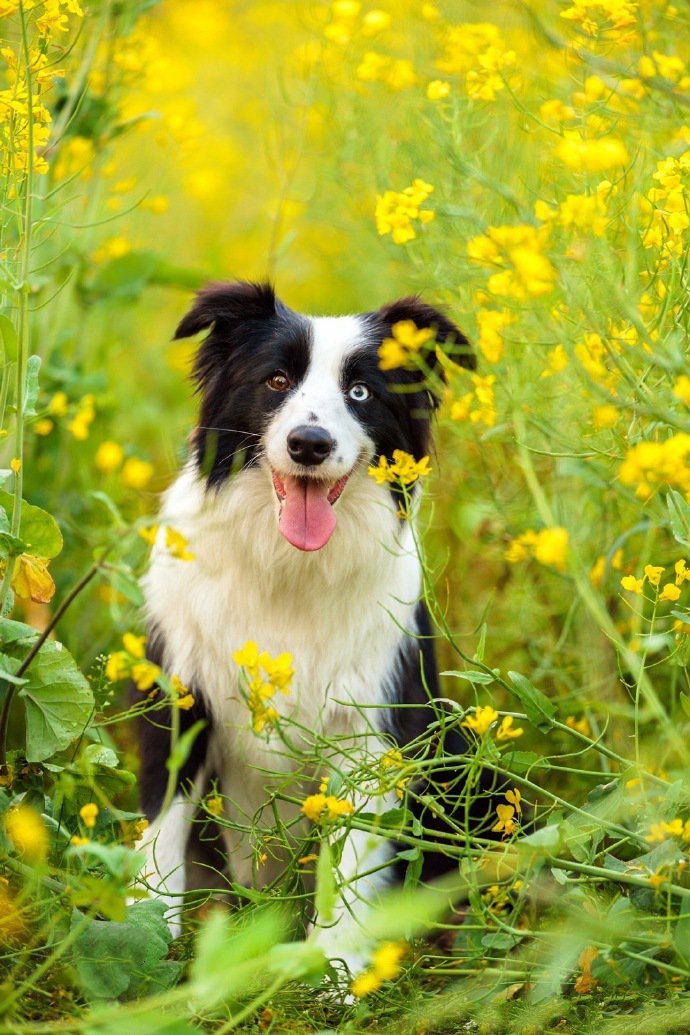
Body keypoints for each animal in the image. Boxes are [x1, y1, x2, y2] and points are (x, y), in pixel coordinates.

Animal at [136, 281, 490, 968]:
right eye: (276, 380)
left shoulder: (372, 731)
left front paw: (336, 972)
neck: (288, 569)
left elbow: (350, 868)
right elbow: (161, 837)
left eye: (361, 393)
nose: (309, 444)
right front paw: (143, 946)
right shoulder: (181, 700)